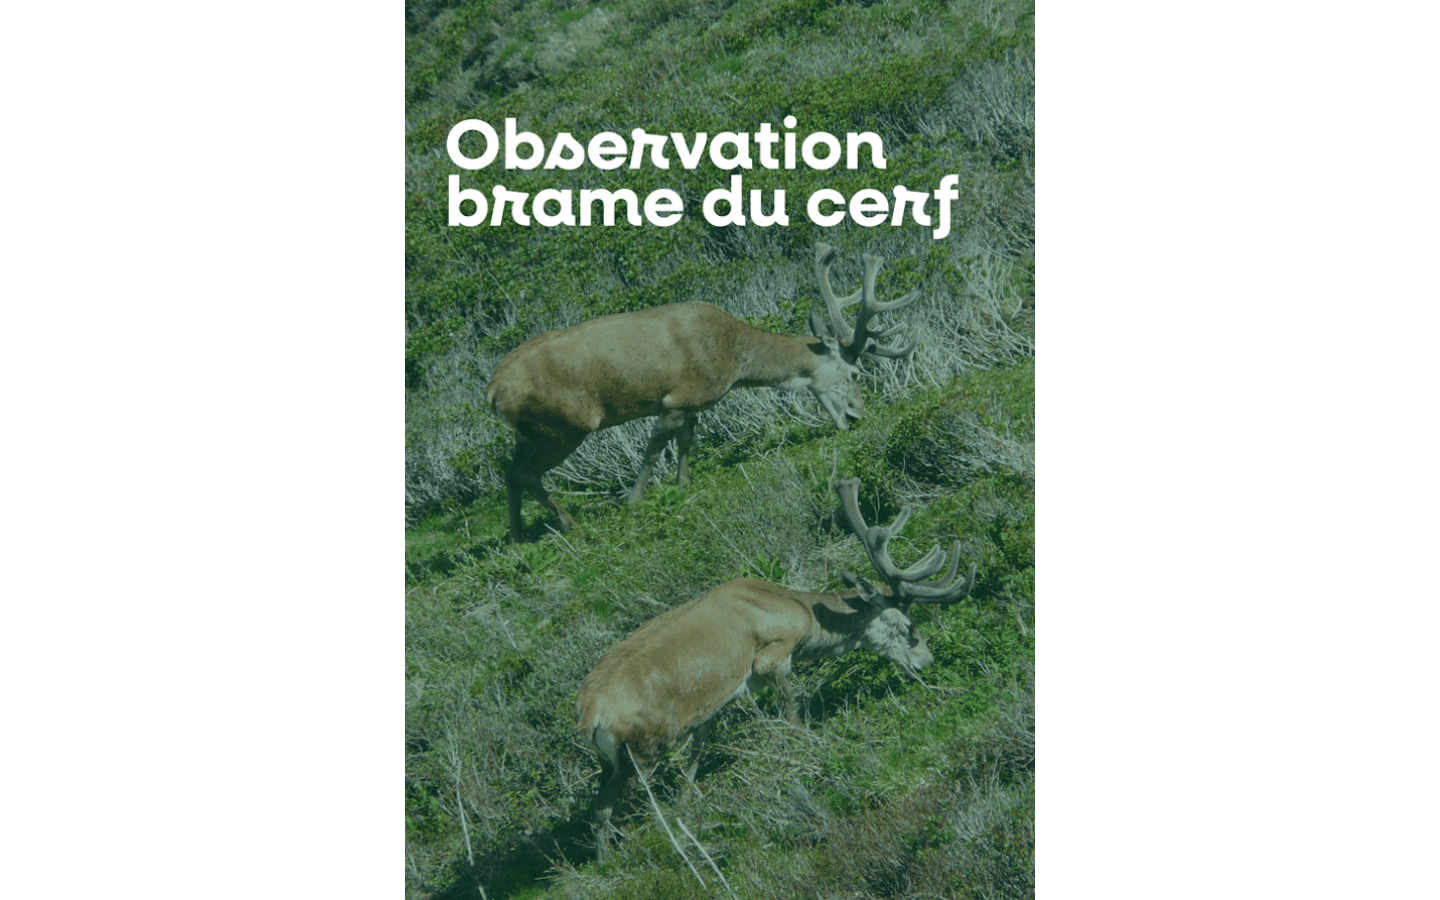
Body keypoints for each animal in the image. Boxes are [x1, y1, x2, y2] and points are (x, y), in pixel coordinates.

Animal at [485, 243, 920, 542]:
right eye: (855, 372)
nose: (859, 415)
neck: (732, 360)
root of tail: (492, 391)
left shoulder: (692, 403)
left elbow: (685, 442)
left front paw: (683, 483)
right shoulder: (676, 398)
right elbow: (653, 450)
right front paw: (636, 498)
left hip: (530, 432)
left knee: (509, 473)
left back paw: (518, 536)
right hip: (563, 426)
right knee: (525, 473)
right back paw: (567, 521)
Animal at [573, 477, 977, 860]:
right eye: (910, 627)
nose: (927, 660)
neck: (799, 612)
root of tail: (590, 714)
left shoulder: (712, 705)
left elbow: (699, 751)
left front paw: (688, 803)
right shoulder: (773, 654)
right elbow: (791, 708)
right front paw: (807, 746)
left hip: (612, 759)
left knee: (602, 807)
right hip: (643, 749)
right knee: (607, 809)